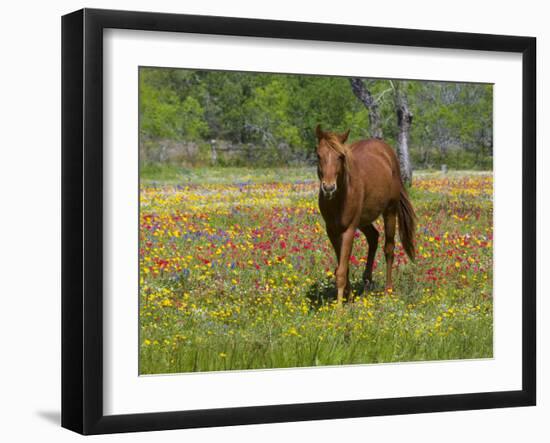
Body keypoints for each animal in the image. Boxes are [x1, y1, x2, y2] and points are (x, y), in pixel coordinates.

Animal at [314, 124, 418, 306]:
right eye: (318, 155)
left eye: (340, 156)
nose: (328, 188)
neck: (340, 197)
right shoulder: (332, 231)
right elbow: (343, 266)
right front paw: (348, 297)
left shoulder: (349, 230)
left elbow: (341, 270)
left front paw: (339, 308)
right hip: (363, 221)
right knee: (373, 237)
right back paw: (367, 281)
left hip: (389, 212)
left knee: (389, 248)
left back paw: (387, 291)